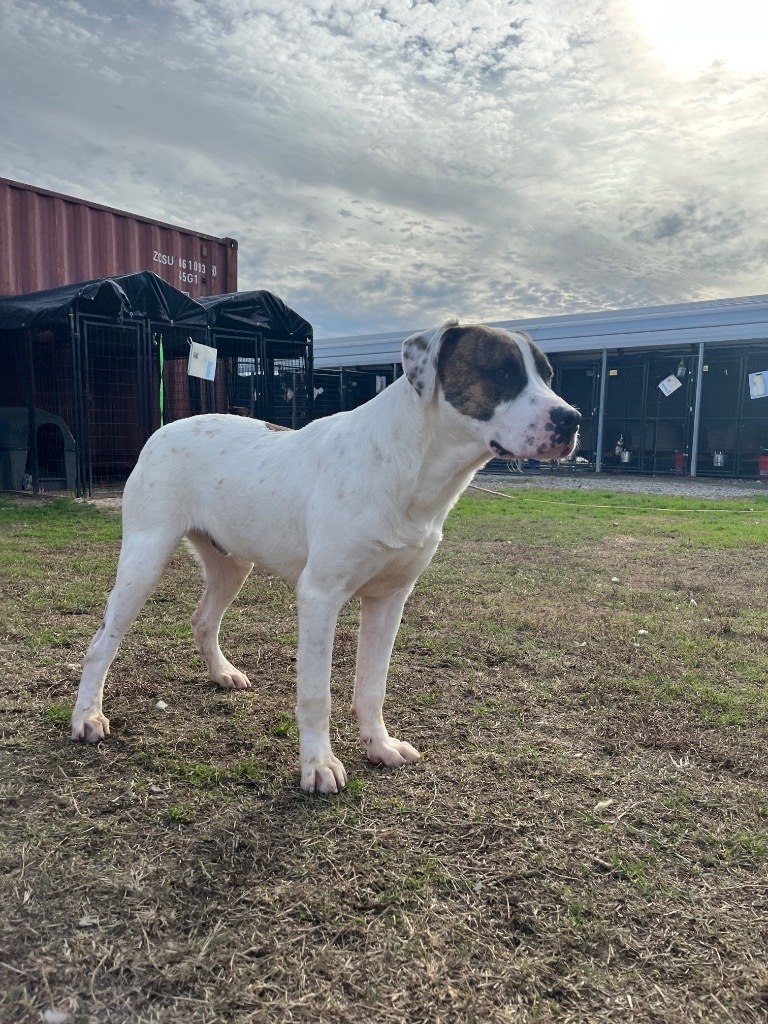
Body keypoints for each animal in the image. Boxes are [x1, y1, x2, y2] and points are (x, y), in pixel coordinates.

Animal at [72, 319, 581, 790]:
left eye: (549, 374)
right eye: (501, 372)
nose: (572, 419)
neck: (410, 468)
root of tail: (166, 428)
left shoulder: (390, 598)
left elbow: (373, 685)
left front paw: (379, 745)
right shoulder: (320, 596)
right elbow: (317, 694)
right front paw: (318, 765)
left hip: (232, 564)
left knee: (202, 619)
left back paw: (222, 673)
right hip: (145, 558)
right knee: (101, 643)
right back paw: (87, 717)